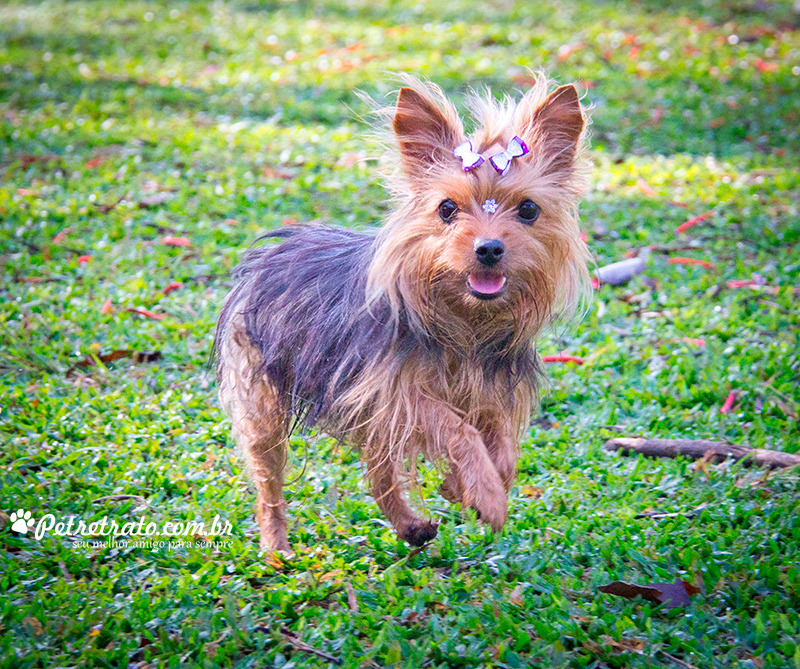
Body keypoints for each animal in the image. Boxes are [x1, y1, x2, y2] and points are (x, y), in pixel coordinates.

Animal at [216, 74, 592, 552]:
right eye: (447, 208)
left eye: (528, 209)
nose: (488, 248)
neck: (465, 323)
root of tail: (276, 248)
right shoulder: (395, 393)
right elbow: (457, 430)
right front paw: (485, 495)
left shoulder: (487, 394)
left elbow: (505, 448)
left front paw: (464, 487)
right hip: (262, 399)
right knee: (269, 481)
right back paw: (276, 547)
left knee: (378, 469)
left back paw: (410, 524)